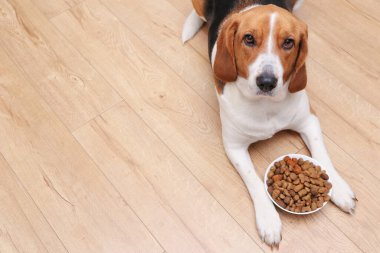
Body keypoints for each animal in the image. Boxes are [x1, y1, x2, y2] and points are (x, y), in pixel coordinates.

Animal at [183, 0, 358, 247]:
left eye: (288, 42)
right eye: (248, 39)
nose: (266, 82)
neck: (266, 106)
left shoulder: (309, 120)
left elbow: (323, 155)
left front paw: (340, 189)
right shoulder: (234, 147)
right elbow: (254, 180)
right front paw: (268, 220)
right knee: (197, 15)